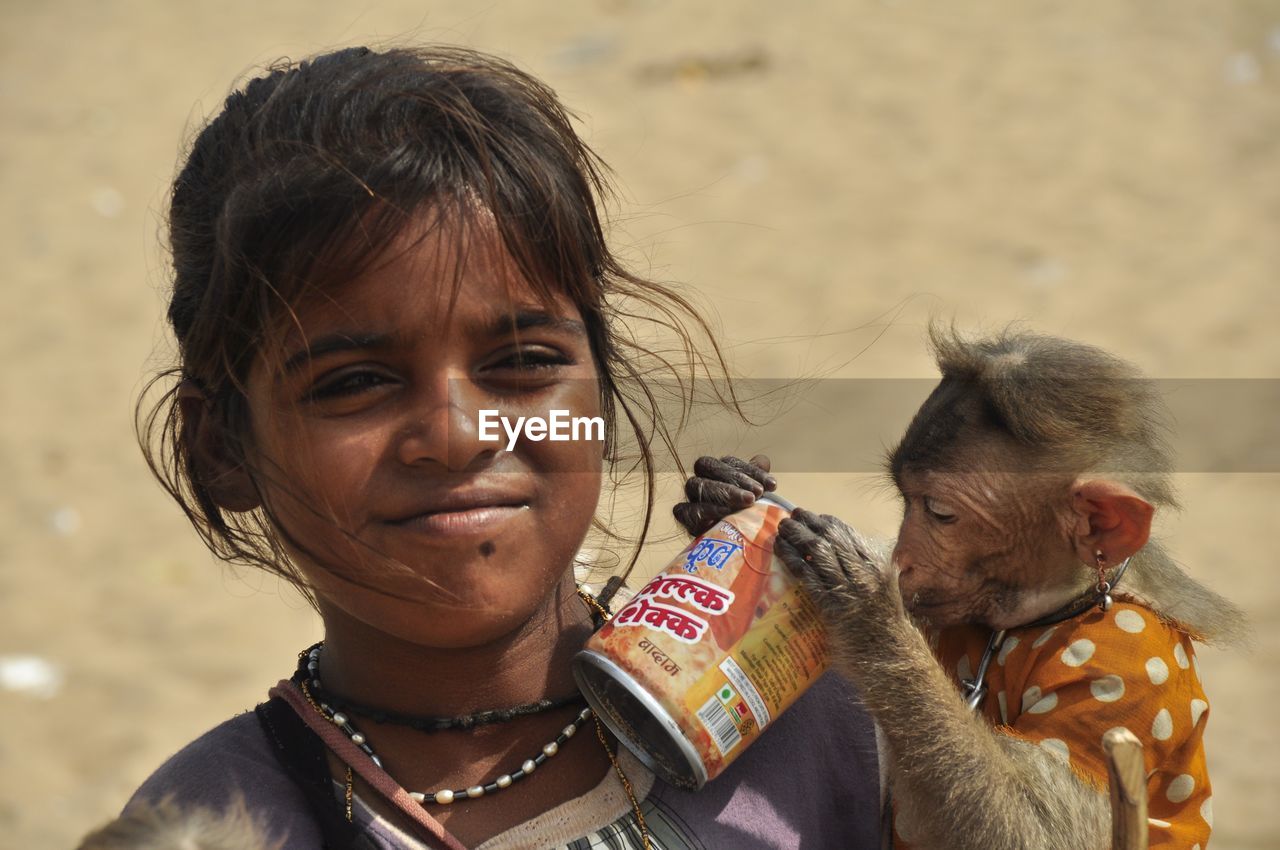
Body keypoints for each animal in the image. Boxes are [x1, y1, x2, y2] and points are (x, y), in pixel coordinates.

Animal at [675, 327, 1244, 850]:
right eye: (907, 501)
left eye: (940, 513)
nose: (902, 559)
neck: (1055, 609)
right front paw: (722, 493)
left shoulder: (1121, 676)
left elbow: (1037, 833)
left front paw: (866, 608)